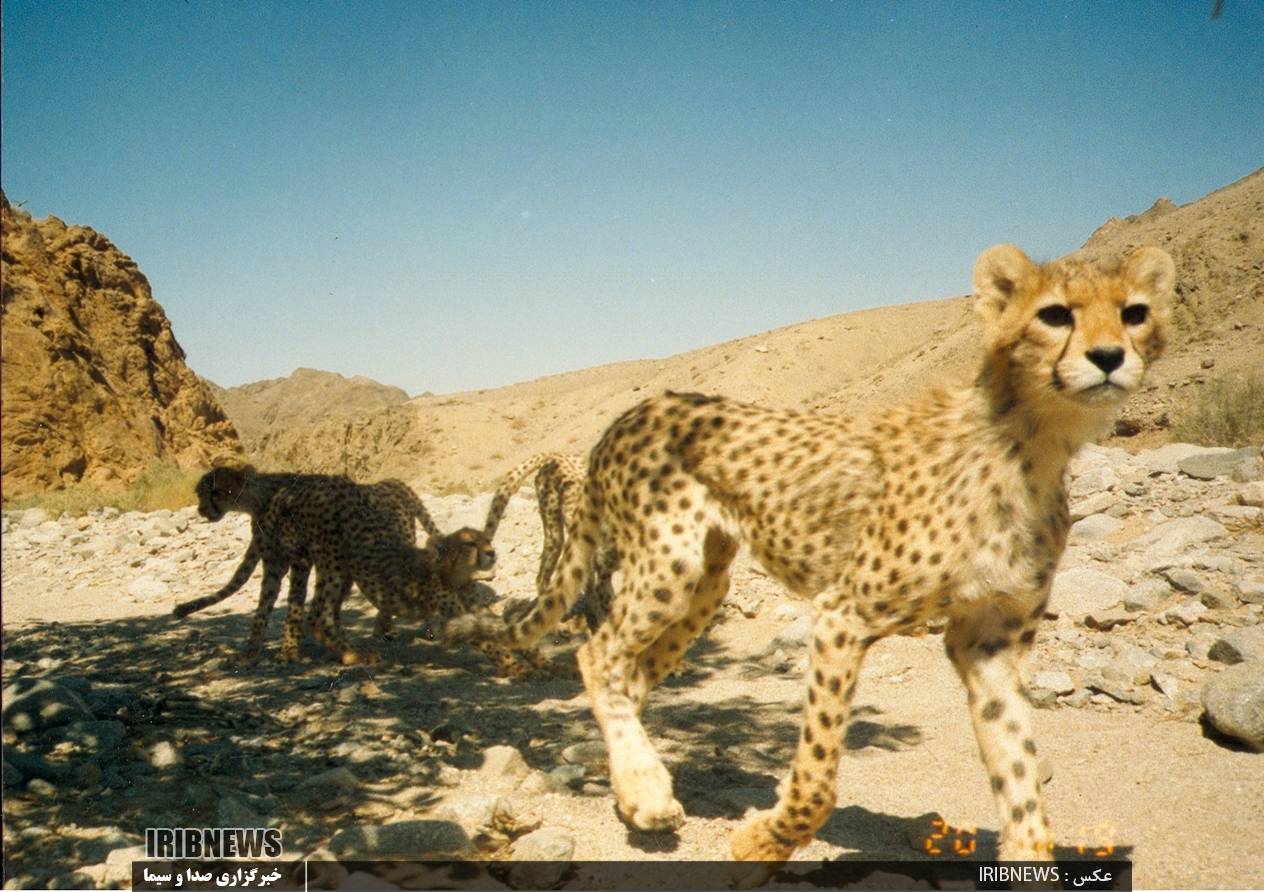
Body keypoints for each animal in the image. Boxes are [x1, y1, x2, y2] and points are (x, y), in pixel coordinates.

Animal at [452, 242, 1172, 874]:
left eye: (1134, 312)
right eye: (1055, 314)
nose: (1109, 357)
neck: (1034, 443)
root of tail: (635, 409)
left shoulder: (989, 644)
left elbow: (1021, 780)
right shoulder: (842, 616)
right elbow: (820, 777)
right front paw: (759, 846)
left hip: (705, 582)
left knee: (626, 675)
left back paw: (637, 788)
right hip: (668, 564)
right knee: (596, 654)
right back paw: (648, 792)